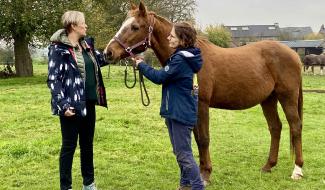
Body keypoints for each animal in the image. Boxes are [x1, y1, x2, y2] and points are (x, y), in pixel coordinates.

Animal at [104, 1, 304, 184]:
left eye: (135, 27)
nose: (108, 52)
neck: (192, 57)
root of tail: (294, 54)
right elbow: (197, 139)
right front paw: (199, 172)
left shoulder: (202, 105)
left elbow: (204, 139)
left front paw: (206, 174)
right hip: (268, 99)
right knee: (275, 127)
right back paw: (268, 166)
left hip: (287, 97)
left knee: (295, 126)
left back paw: (297, 170)